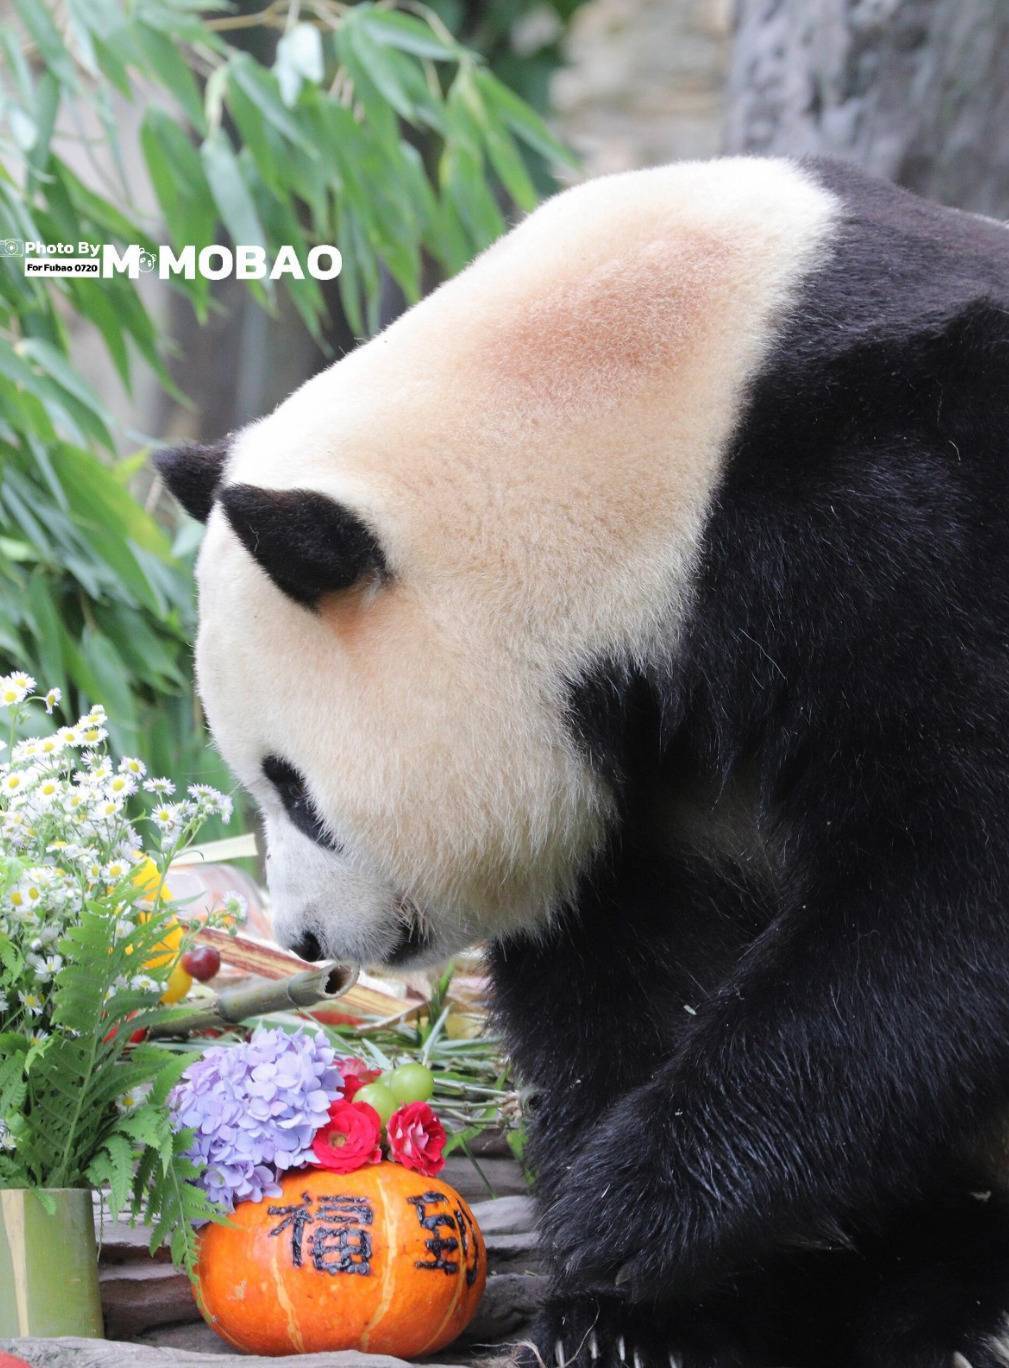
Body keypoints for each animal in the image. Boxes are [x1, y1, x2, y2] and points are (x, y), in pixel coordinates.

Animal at [155, 162, 1009, 1368]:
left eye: (293, 789)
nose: (308, 943)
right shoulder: (648, 752)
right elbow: (625, 960)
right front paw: (637, 1313)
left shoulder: (916, 512)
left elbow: (946, 882)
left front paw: (631, 1211)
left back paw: (959, 1305)